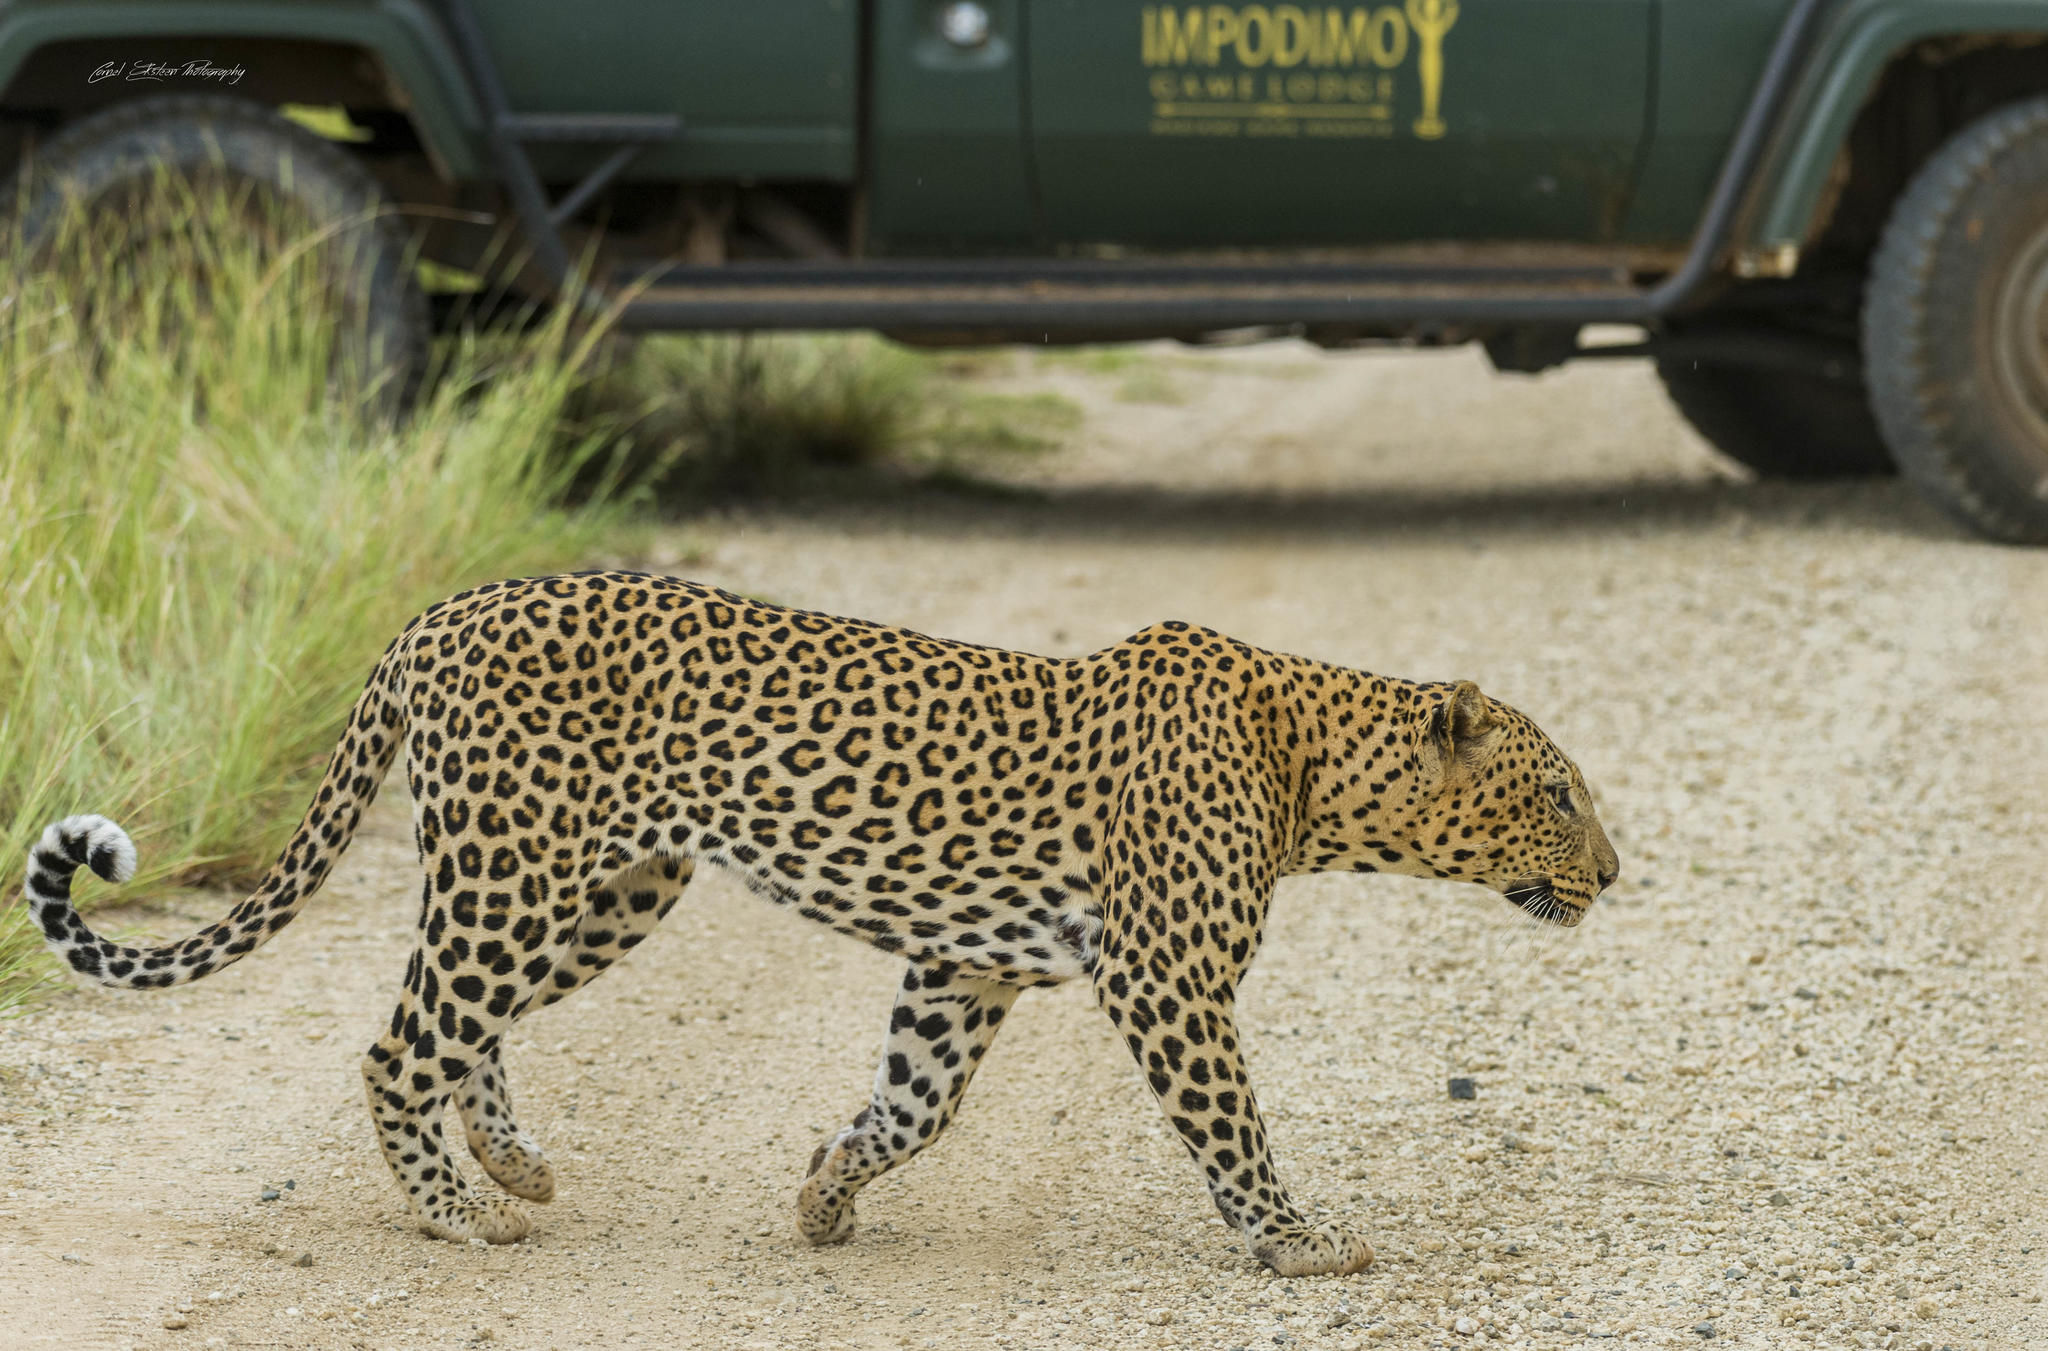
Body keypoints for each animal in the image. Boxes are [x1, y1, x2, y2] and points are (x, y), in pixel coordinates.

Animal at [23, 571, 1618, 1277]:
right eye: (1556, 792)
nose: (1615, 871)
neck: (1314, 772)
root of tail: (439, 612)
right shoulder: (1164, 978)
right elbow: (1232, 1122)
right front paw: (1300, 1242)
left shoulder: (964, 966)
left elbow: (914, 1105)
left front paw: (823, 1196)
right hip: (520, 870)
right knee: (396, 1041)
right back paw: (461, 1211)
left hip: (603, 888)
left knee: (462, 1029)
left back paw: (514, 1162)